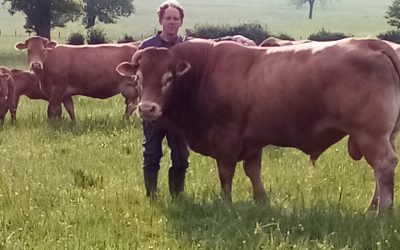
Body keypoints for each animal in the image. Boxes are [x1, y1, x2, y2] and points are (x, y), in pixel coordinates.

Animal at [116, 38, 400, 212]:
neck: (204, 72)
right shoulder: (253, 139)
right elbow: (253, 171)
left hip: (371, 134)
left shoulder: (226, 138)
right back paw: (373, 207)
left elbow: (226, 173)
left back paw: (381, 212)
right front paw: (261, 201)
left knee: (383, 166)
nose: (147, 108)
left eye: (168, 78)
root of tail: (370, 42)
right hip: (384, 136)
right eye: (138, 78)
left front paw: (226, 203)